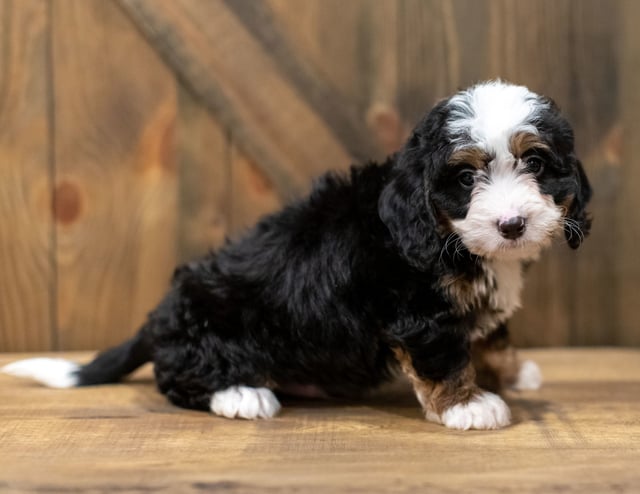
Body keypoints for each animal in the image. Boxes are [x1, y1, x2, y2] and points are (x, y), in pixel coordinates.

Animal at [1, 80, 592, 428]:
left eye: (536, 164)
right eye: (467, 177)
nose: (512, 225)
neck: (441, 231)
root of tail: (158, 317)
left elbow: (491, 332)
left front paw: (509, 370)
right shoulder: (416, 310)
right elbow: (444, 354)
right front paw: (468, 403)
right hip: (209, 323)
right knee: (178, 378)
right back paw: (241, 395)